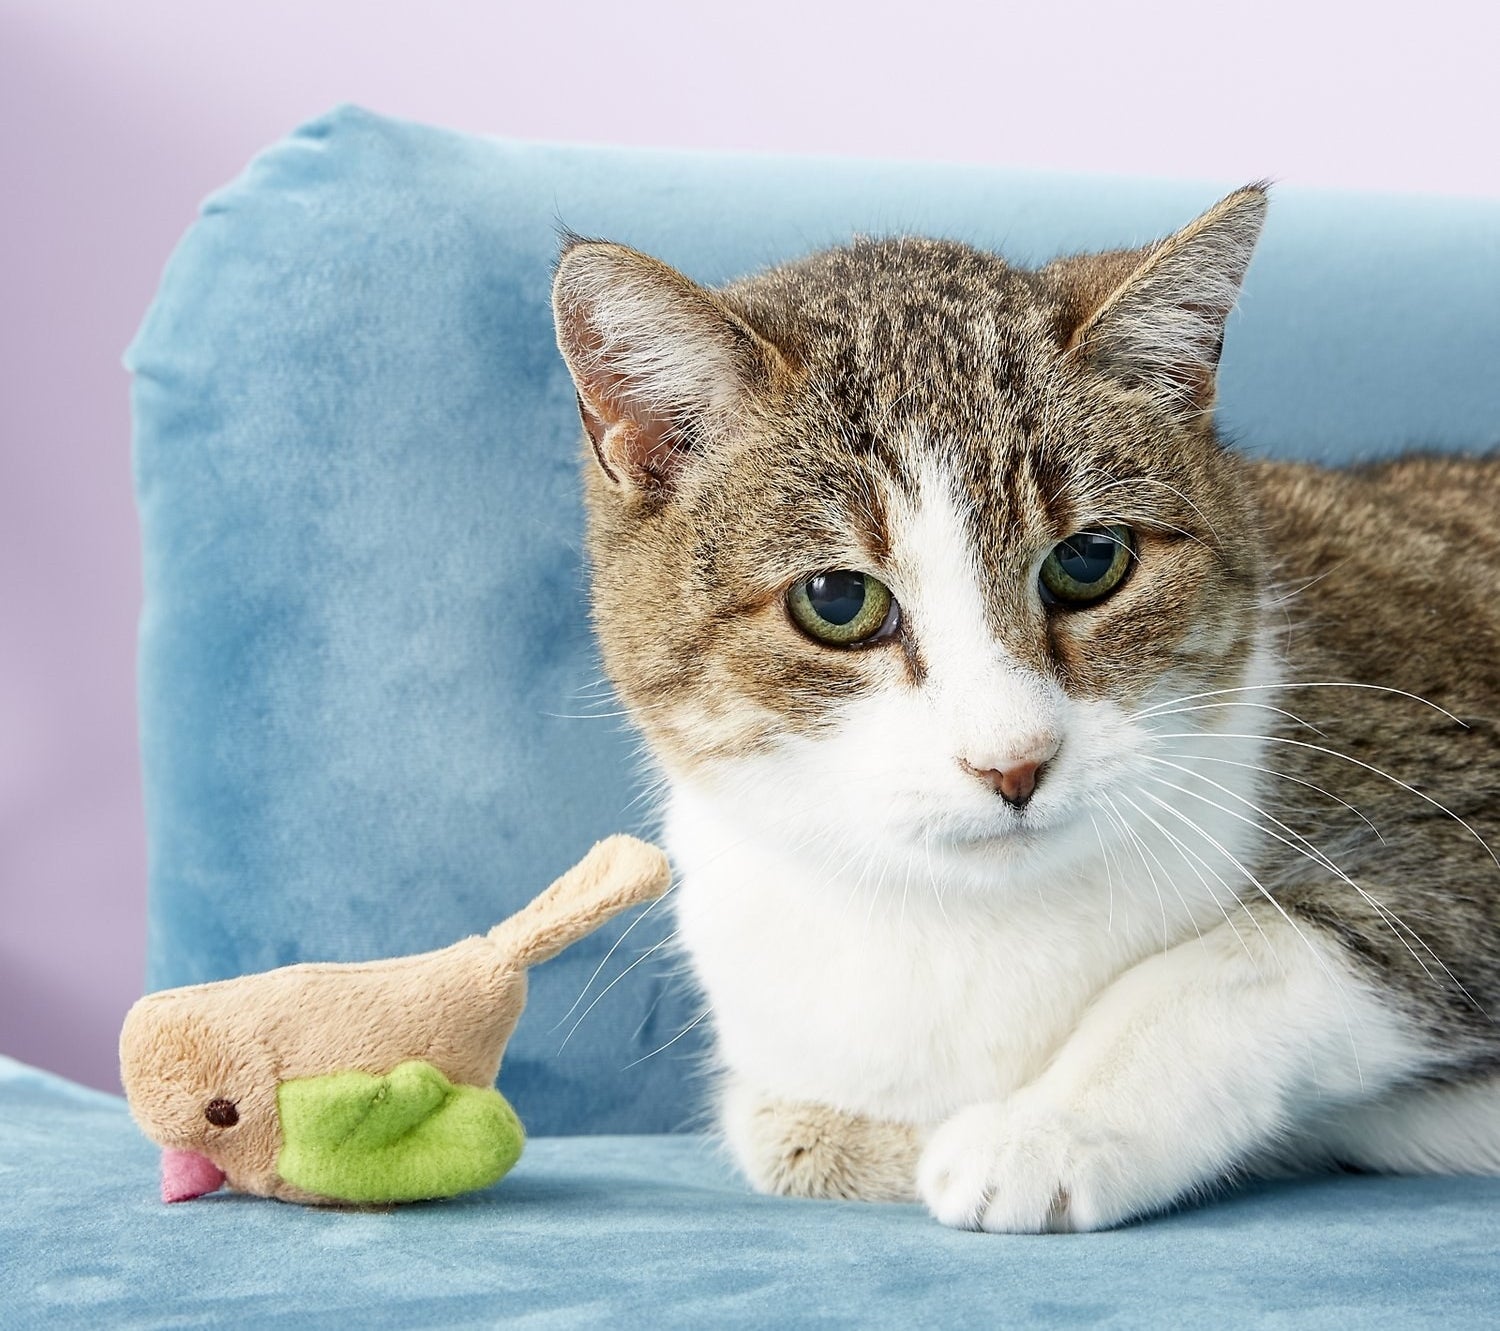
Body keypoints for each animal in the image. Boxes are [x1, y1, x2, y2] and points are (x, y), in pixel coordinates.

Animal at [552, 182, 1500, 1236]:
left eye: (1089, 561)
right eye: (837, 600)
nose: (1013, 762)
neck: (967, 917)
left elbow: (1252, 954)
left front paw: (1052, 1127)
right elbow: (785, 1131)